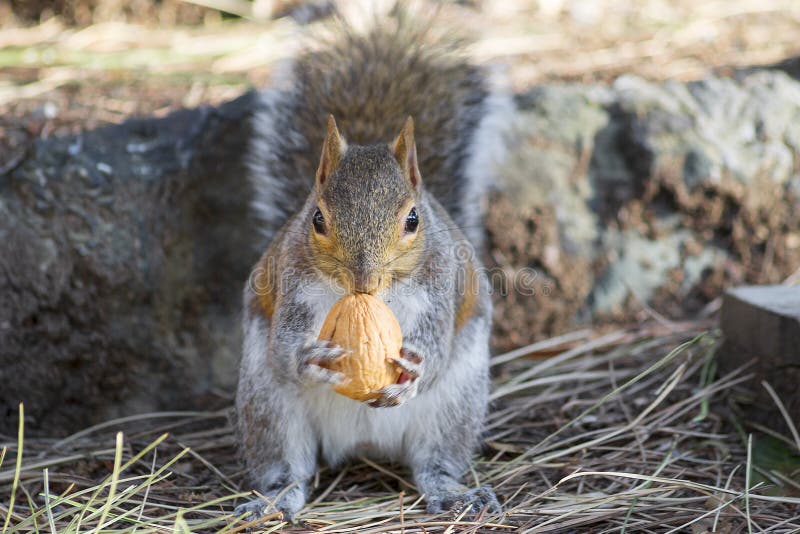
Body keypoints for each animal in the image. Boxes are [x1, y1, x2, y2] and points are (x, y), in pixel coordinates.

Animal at [235, 10, 511, 521]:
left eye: (413, 219)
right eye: (317, 218)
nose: (364, 280)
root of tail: (362, 443)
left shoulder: (441, 286)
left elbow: (437, 345)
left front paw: (418, 365)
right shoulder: (291, 283)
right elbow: (285, 347)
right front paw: (309, 358)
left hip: (455, 405)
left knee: (433, 462)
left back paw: (454, 493)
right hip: (268, 405)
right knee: (289, 468)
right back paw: (274, 500)